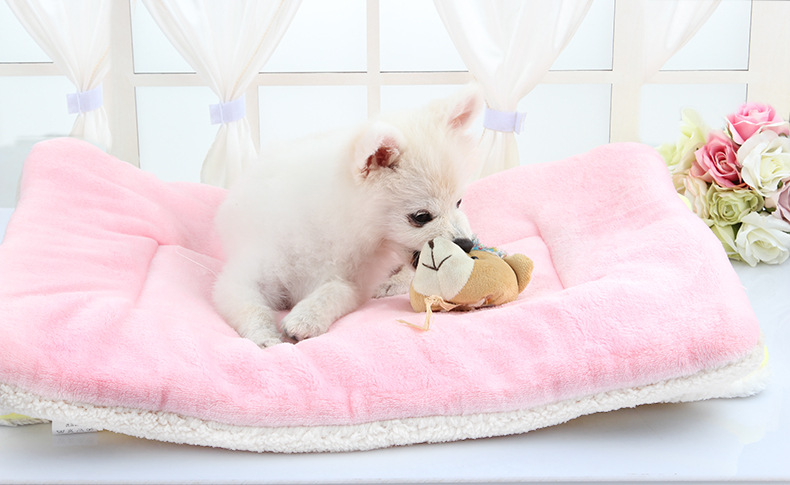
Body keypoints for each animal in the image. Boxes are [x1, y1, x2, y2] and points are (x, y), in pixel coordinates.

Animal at [212, 88, 482, 347]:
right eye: (421, 216)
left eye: (458, 203)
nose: (465, 243)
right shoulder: (246, 275)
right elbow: (249, 307)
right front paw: (265, 336)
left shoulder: (350, 278)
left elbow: (334, 292)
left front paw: (305, 318)